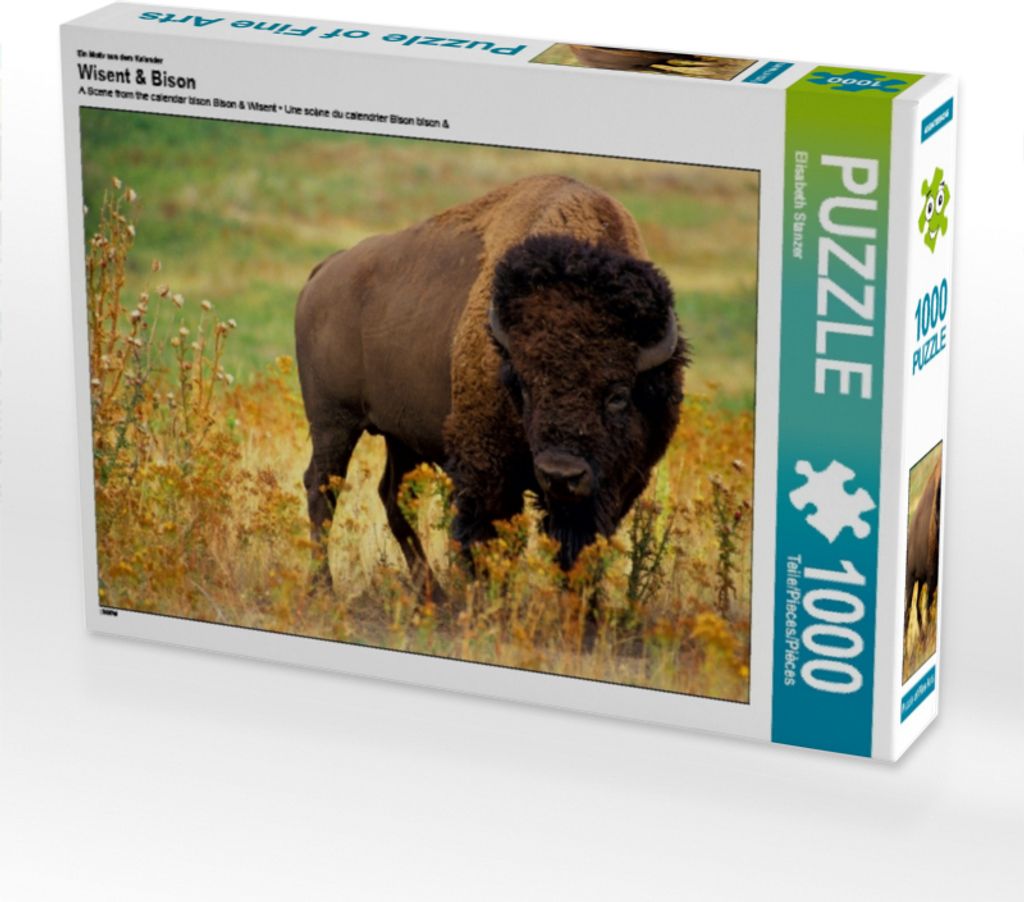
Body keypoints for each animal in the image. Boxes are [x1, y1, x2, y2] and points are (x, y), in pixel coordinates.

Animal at [295, 174, 686, 598]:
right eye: (526, 388)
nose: (560, 474)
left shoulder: (616, 484)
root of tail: (325, 270)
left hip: (400, 436)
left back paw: (433, 595)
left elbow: (579, 548)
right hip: (334, 423)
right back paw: (324, 588)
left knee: (392, 495)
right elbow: (486, 539)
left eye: (617, 395)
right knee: (323, 490)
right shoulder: (487, 471)